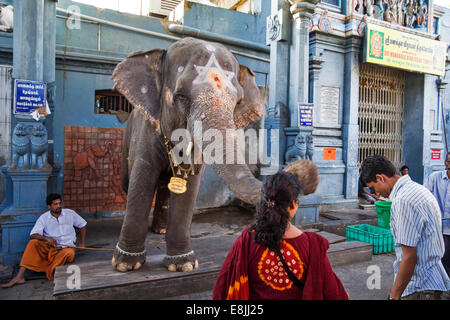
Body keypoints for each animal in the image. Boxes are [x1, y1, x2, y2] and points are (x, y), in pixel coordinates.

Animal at [110, 37, 268, 272]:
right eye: (181, 96)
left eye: (238, 102)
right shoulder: (146, 130)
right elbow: (143, 177)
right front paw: (125, 265)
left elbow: (189, 186)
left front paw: (183, 265)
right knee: (128, 182)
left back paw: (160, 230)